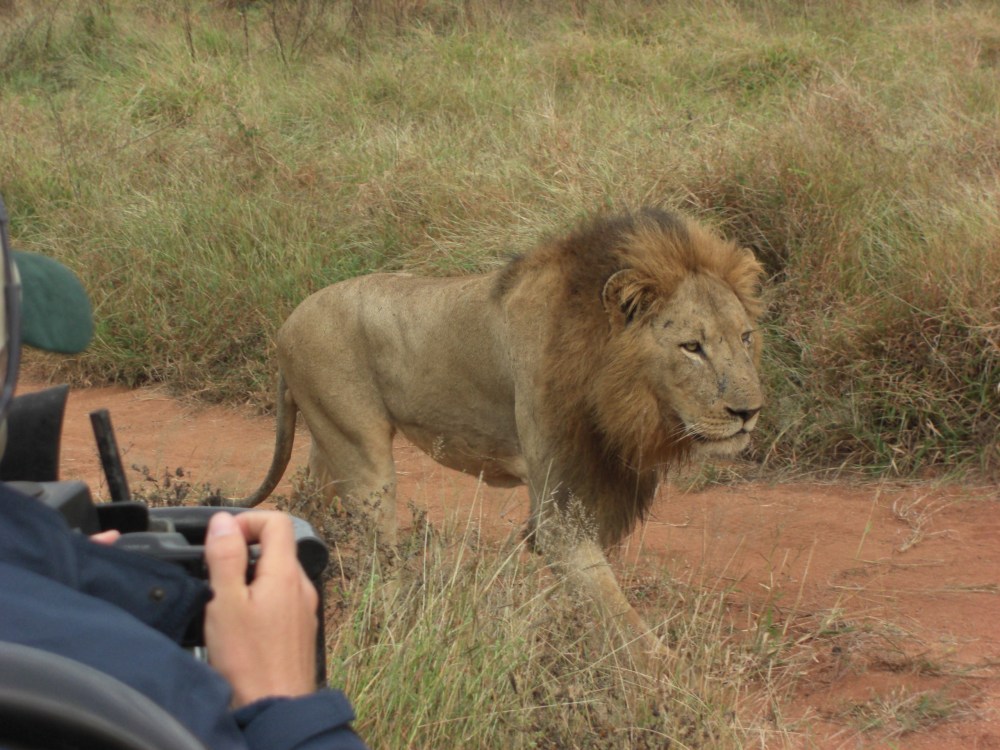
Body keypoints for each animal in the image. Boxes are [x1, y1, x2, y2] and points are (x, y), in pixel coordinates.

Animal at [231, 207, 764, 660]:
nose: (749, 412)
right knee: (380, 553)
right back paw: (396, 625)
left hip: (328, 441)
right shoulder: (559, 514)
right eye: (691, 347)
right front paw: (675, 685)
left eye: (745, 338)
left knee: (307, 498)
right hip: (362, 454)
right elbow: (622, 619)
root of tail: (290, 321)